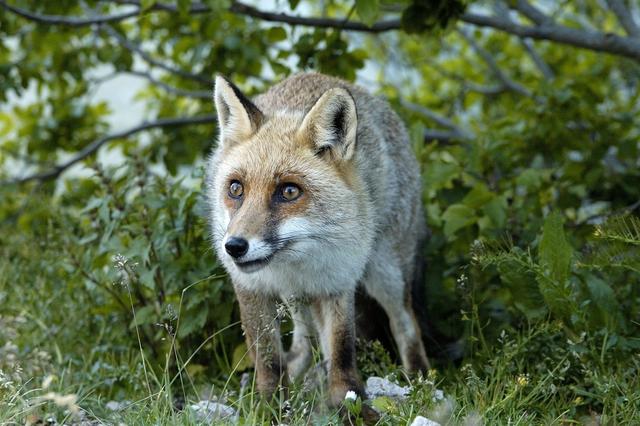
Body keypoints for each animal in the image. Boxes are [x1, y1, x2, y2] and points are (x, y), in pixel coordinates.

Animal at [208, 71, 430, 408]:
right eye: (236, 188)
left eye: (289, 191)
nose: (234, 247)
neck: (296, 262)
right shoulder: (251, 288)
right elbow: (268, 360)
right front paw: (270, 407)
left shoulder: (337, 281)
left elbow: (341, 352)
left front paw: (350, 404)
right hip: (296, 297)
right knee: (304, 342)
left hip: (386, 274)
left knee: (406, 325)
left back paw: (420, 381)